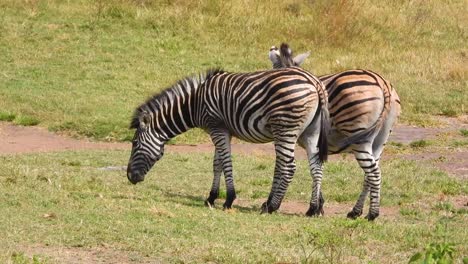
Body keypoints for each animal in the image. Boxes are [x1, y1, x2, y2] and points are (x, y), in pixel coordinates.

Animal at [125, 67, 330, 216]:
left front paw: (229, 199)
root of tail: (314, 81)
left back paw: (272, 206)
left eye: (134, 144)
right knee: (316, 166)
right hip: (310, 133)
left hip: (285, 129)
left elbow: (225, 163)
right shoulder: (221, 131)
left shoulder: (217, 128)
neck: (193, 104)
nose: (130, 177)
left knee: (288, 167)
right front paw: (211, 197)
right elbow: (217, 164)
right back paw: (313, 209)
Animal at [268, 43, 400, 221]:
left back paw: (372, 214)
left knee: (373, 173)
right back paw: (356, 211)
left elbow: (281, 166)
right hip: (381, 139)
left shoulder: (289, 135)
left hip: (359, 137)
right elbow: (316, 168)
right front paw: (319, 206)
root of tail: (382, 82)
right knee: (369, 175)